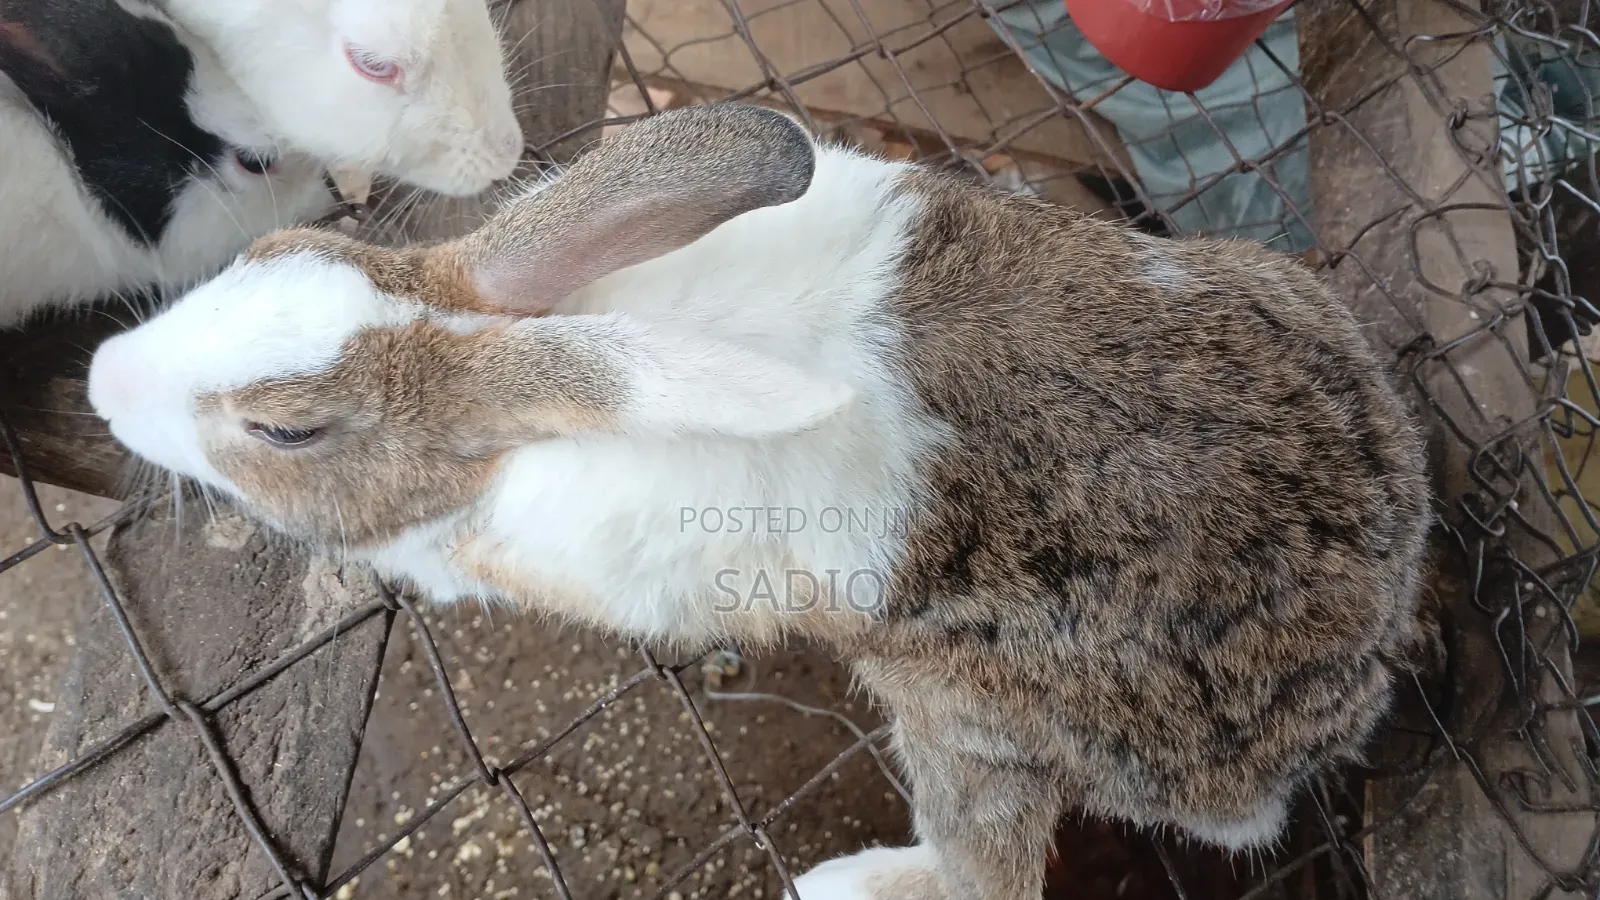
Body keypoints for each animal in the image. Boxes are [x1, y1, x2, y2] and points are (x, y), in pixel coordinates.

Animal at [86, 103, 1432, 900]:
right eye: (267, 257)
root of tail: (1349, 677)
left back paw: (855, 881)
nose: (102, 383)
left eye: (285, 429)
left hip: (965, 723)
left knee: (984, 871)